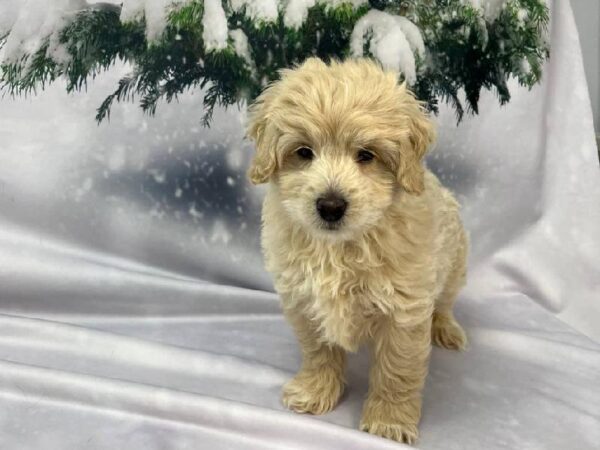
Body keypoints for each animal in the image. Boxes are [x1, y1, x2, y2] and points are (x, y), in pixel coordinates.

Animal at [245, 56, 468, 442]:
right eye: (304, 152)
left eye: (366, 155)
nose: (331, 206)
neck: (341, 246)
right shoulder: (306, 301)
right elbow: (318, 351)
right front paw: (315, 391)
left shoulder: (404, 310)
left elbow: (397, 369)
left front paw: (389, 420)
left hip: (455, 263)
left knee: (444, 302)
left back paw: (446, 328)